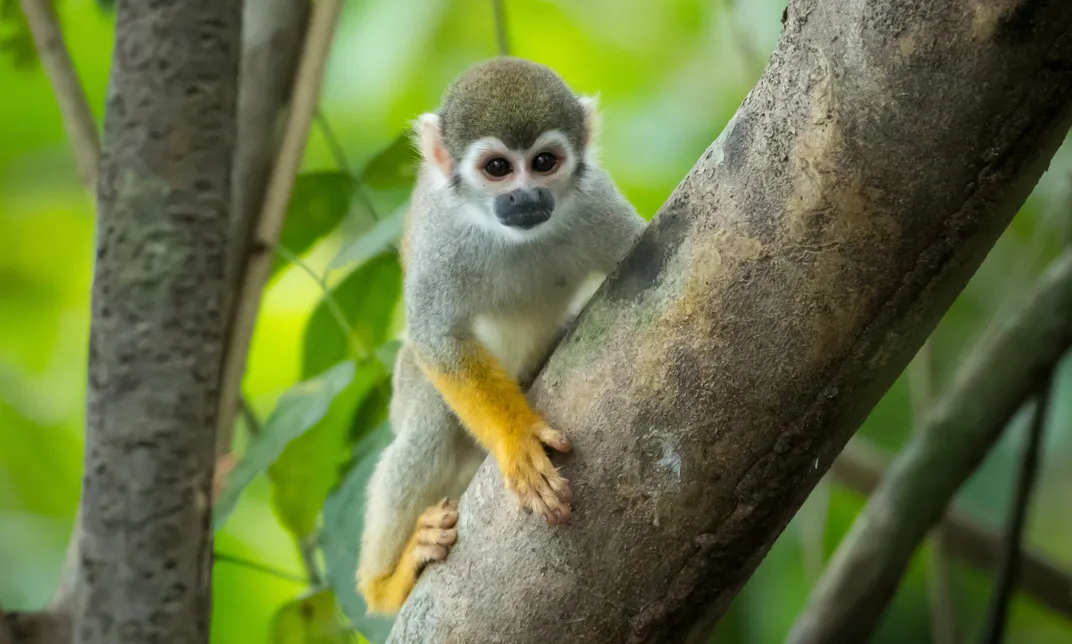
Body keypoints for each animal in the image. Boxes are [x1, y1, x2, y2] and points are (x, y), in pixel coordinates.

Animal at [356, 57, 646, 614]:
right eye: (497, 169)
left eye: (544, 162)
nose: (525, 195)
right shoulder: (442, 236)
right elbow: (437, 339)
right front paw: (517, 441)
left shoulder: (594, 201)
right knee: (428, 419)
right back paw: (384, 584)